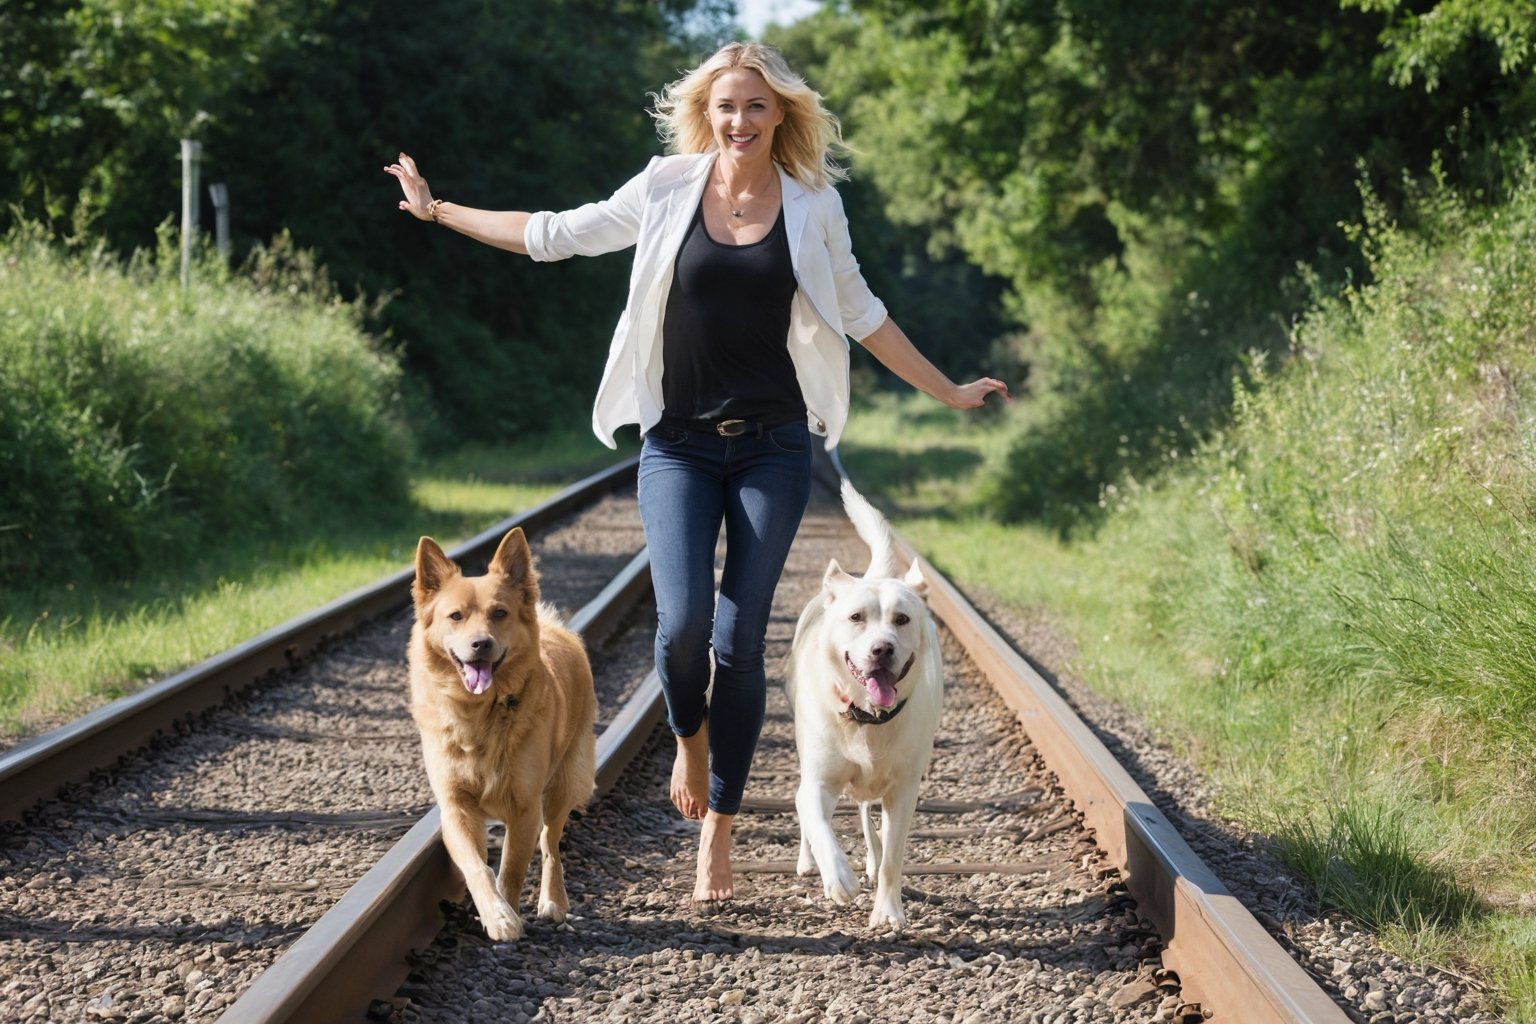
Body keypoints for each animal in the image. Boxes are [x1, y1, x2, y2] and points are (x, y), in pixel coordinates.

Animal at [408, 534, 592, 939]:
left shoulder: (525, 805)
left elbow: (511, 868)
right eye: (456, 616)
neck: (481, 713)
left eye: (499, 613)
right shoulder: (456, 806)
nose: (481, 644)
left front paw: (507, 911)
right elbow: (477, 866)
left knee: (550, 843)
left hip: (564, 782)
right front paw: (497, 915)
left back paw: (553, 900)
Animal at [786, 482, 940, 927]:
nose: (882, 649)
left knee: (868, 813)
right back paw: (811, 864)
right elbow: (818, 824)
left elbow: (893, 856)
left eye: (902, 619)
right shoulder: (818, 781)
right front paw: (839, 879)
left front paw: (887, 911)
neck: (866, 718)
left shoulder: (904, 789)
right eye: (856, 617)